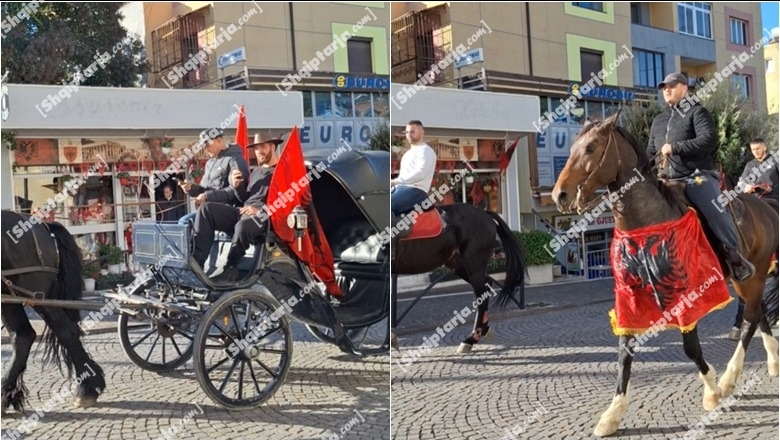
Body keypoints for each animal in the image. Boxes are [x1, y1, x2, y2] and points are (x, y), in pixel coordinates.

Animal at [0, 211, 106, 412]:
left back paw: (86, 389)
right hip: (9, 295)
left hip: (36, 294)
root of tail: (42, 226)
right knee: (22, 336)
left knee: (66, 332)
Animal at [394, 204, 528, 354]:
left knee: (481, 293)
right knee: (486, 285)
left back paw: (471, 338)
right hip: (459, 265)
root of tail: (485, 214)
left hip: (473, 265)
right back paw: (482, 330)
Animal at [552, 112, 776, 436]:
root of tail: (766, 204)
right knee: (759, 313)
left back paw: (729, 378)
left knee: (749, 319)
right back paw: (770, 362)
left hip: (754, 274)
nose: (559, 194)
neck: (647, 222)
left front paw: (712, 393)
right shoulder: (628, 295)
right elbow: (624, 351)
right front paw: (612, 414)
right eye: (571, 148)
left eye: (592, 147)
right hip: (743, 280)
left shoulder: (686, 293)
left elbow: (691, 349)